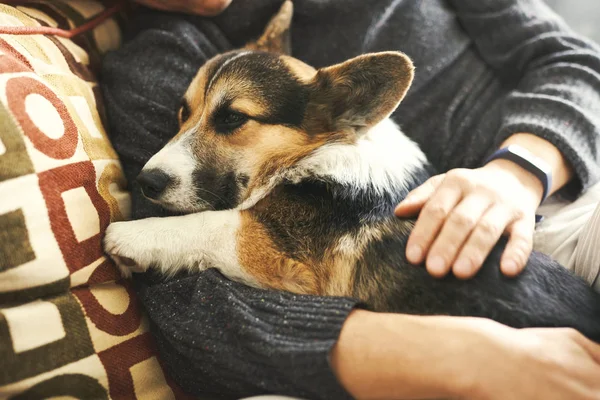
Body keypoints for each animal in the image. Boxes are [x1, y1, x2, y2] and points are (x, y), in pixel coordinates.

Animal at [105, 1, 600, 342]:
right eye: (182, 112)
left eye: (232, 118)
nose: (146, 181)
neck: (321, 153)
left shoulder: (276, 252)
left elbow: (210, 223)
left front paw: (130, 236)